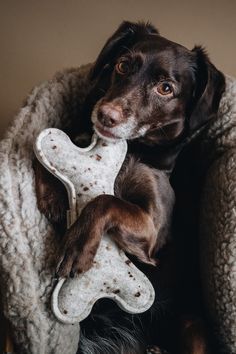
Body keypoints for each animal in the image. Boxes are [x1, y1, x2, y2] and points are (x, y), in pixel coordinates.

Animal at [34, 22, 225, 354]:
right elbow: (42, 144)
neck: (132, 149)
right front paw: (53, 196)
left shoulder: (152, 228)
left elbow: (106, 200)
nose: (105, 115)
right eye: (123, 65)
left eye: (166, 88)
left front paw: (76, 246)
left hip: (193, 325)